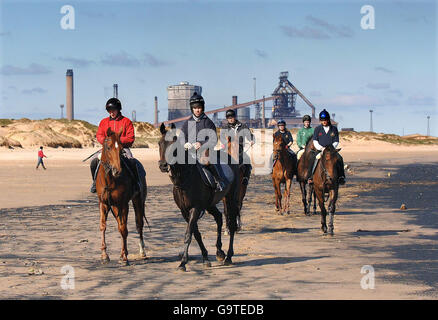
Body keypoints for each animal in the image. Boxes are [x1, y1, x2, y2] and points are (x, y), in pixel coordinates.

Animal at [95, 127, 147, 264]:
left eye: (122, 149)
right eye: (108, 147)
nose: (117, 170)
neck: (109, 179)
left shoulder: (123, 204)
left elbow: (123, 229)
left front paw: (124, 256)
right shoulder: (104, 203)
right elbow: (103, 226)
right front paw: (104, 255)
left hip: (138, 201)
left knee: (139, 224)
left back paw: (142, 251)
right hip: (114, 206)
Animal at [157, 124, 240, 272]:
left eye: (174, 145)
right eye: (159, 143)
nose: (163, 165)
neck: (185, 179)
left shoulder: (195, 208)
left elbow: (188, 234)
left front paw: (183, 262)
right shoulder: (185, 211)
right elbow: (195, 234)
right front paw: (206, 258)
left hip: (230, 199)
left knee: (230, 224)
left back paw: (229, 256)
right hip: (210, 204)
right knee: (219, 218)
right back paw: (219, 252)